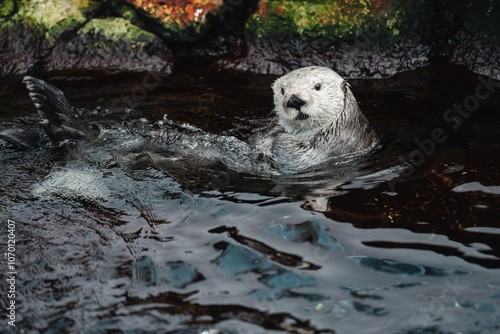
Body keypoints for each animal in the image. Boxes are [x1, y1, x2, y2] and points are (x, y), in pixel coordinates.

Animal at [15, 66, 376, 174]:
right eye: (284, 89)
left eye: (317, 86)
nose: (294, 100)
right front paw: (269, 136)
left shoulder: (329, 149)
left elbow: (289, 156)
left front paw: (277, 139)